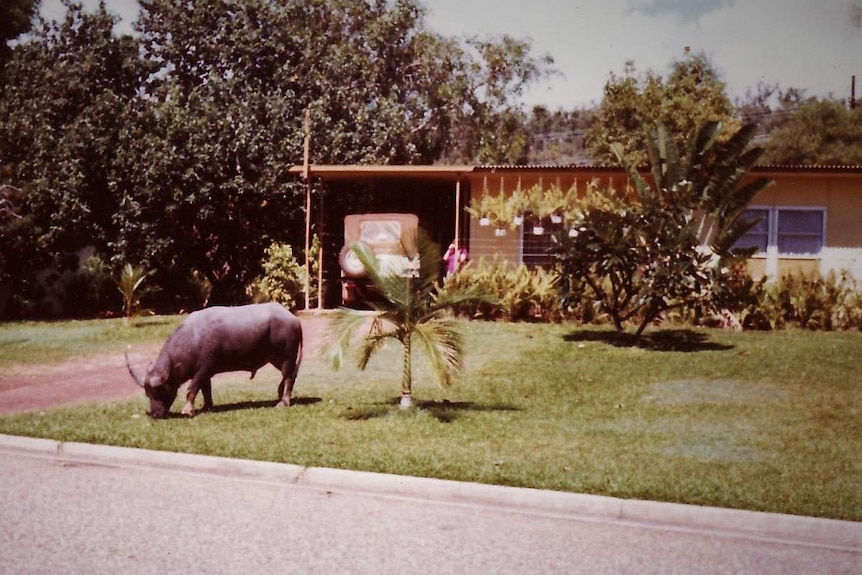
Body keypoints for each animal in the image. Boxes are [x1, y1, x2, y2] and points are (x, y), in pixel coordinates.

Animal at [125, 304, 304, 420]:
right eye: (148, 394)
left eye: (161, 392)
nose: (156, 415)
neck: (193, 338)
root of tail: (293, 319)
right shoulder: (206, 372)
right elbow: (206, 390)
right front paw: (207, 407)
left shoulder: (203, 369)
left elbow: (192, 389)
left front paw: (187, 410)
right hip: (275, 358)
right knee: (290, 374)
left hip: (286, 356)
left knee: (289, 376)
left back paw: (283, 402)